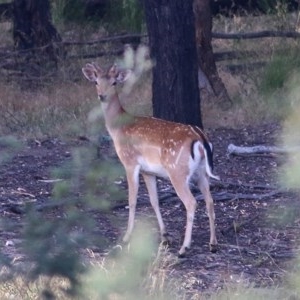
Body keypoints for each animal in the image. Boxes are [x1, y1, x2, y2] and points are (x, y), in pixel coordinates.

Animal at [82, 63, 220, 255]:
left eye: (114, 82)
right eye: (96, 82)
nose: (102, 95)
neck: (117, 129)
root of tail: (200, 138)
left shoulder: (130, 162)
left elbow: (132, 201)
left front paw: (126, 237)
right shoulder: (148, 171)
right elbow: (154, 201)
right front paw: (165, 236)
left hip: (177, 171)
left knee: (191, 202)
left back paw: (184, 248)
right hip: (201, 173)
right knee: (209, 200)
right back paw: (213, 244)